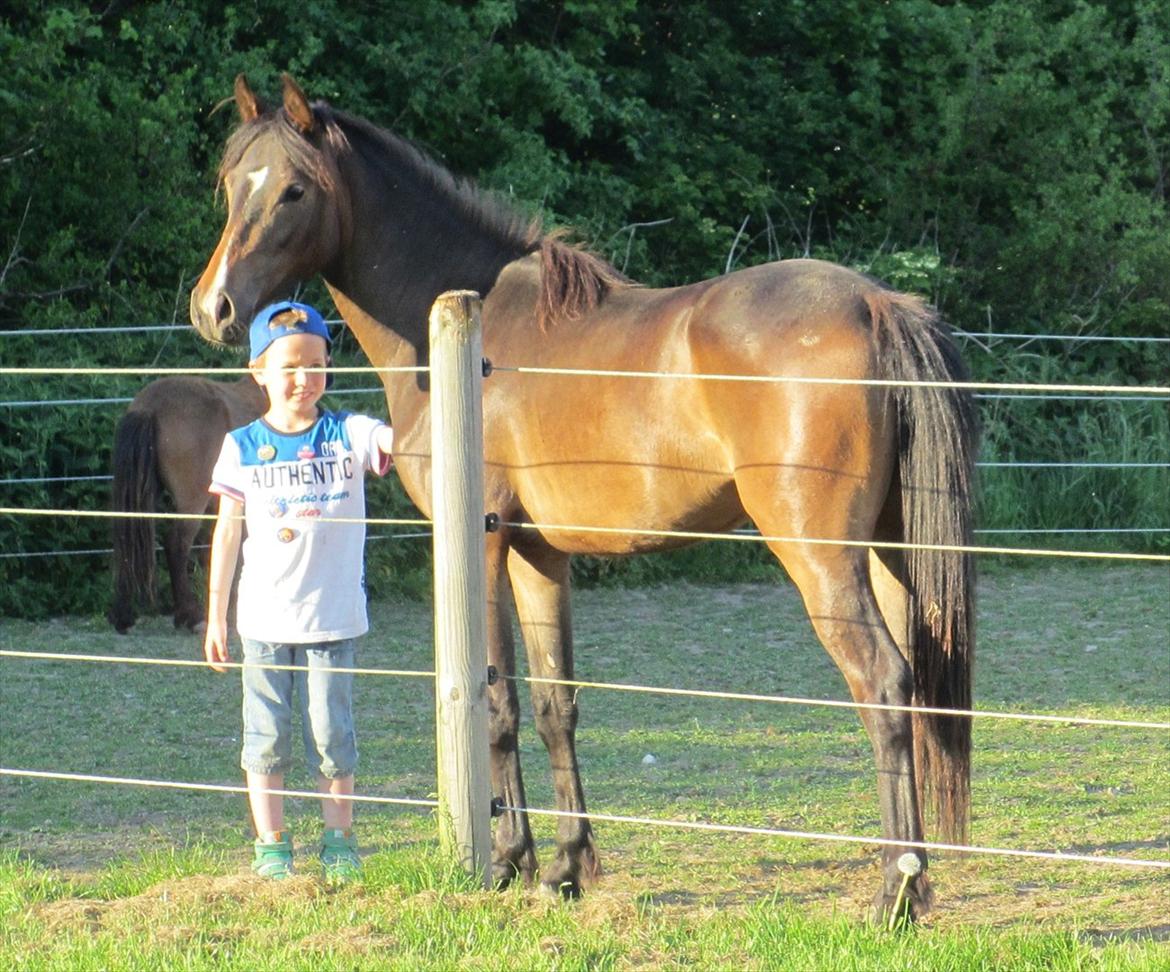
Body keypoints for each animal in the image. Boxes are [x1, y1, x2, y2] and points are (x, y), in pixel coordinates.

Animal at [191, 74, 978, 921]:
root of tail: (876, 305)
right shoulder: (540, 556)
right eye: (231, 185)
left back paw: (895, 891)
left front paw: (507, 861)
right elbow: (553, 706)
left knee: (884, 686)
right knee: (917, 690)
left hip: (822, 559)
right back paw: (915, 883)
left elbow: (497, 705)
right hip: (894, 554)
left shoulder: (484, 546)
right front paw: (566, 866)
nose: (215, 308)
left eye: (294, 190)